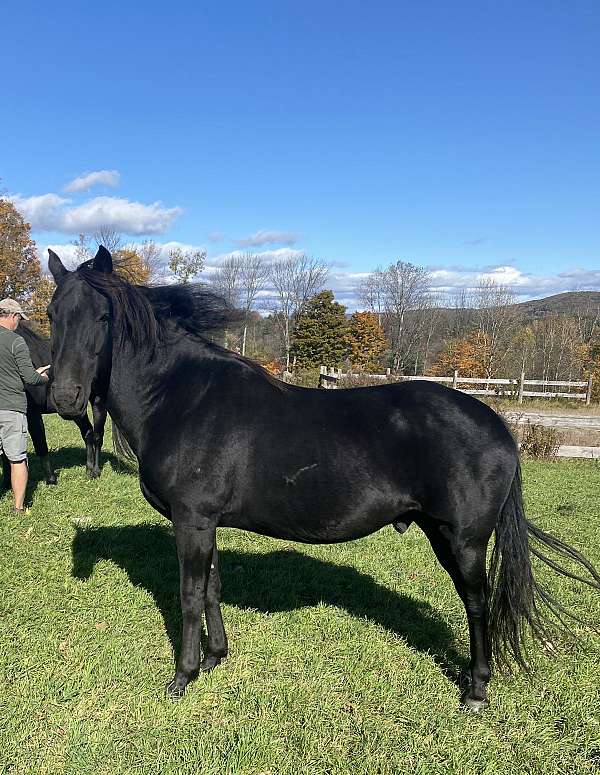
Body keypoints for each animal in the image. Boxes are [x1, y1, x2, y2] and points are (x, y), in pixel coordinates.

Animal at [0, 322, 108, 484]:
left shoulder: (32, 414)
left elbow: (40, 444)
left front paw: (51, 479)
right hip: (76, 409)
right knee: (88, 433)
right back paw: (88, 469)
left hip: (97, 403)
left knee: (97, 436)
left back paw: (95, 470)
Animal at [47, 247, 600, 708]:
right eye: (52, 314)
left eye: (103, 316)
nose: (66, 398)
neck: (182, 398)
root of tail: (499, 425)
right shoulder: (206, 524)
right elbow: (211, 588)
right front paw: (215, 657)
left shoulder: (191, 521)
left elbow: (188, 596)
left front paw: (183, 676)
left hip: (461, 539)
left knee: (477, 603)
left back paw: (477, 690)